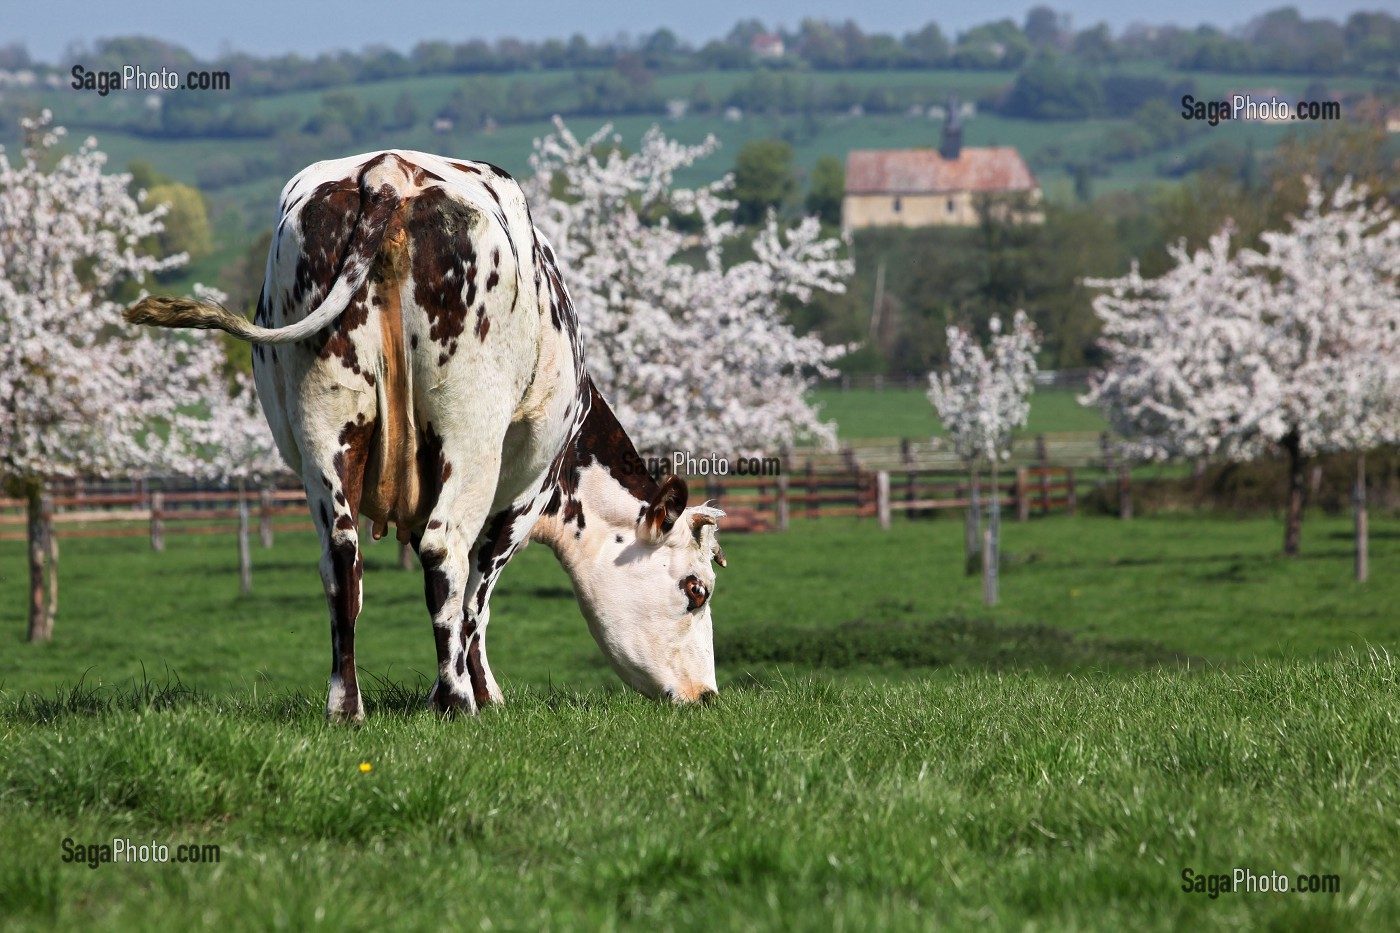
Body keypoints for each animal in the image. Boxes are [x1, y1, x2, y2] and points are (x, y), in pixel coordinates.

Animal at [124, 150, 726, 722]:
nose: (707, 696)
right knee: (445, 553)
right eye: (696, 590)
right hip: (469, 434)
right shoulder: (527, 490)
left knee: (342, 560)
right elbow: (476, 596)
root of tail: (387, 174)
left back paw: (346, 707)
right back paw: (456, 704)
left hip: (324, 433)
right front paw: (480, 694)